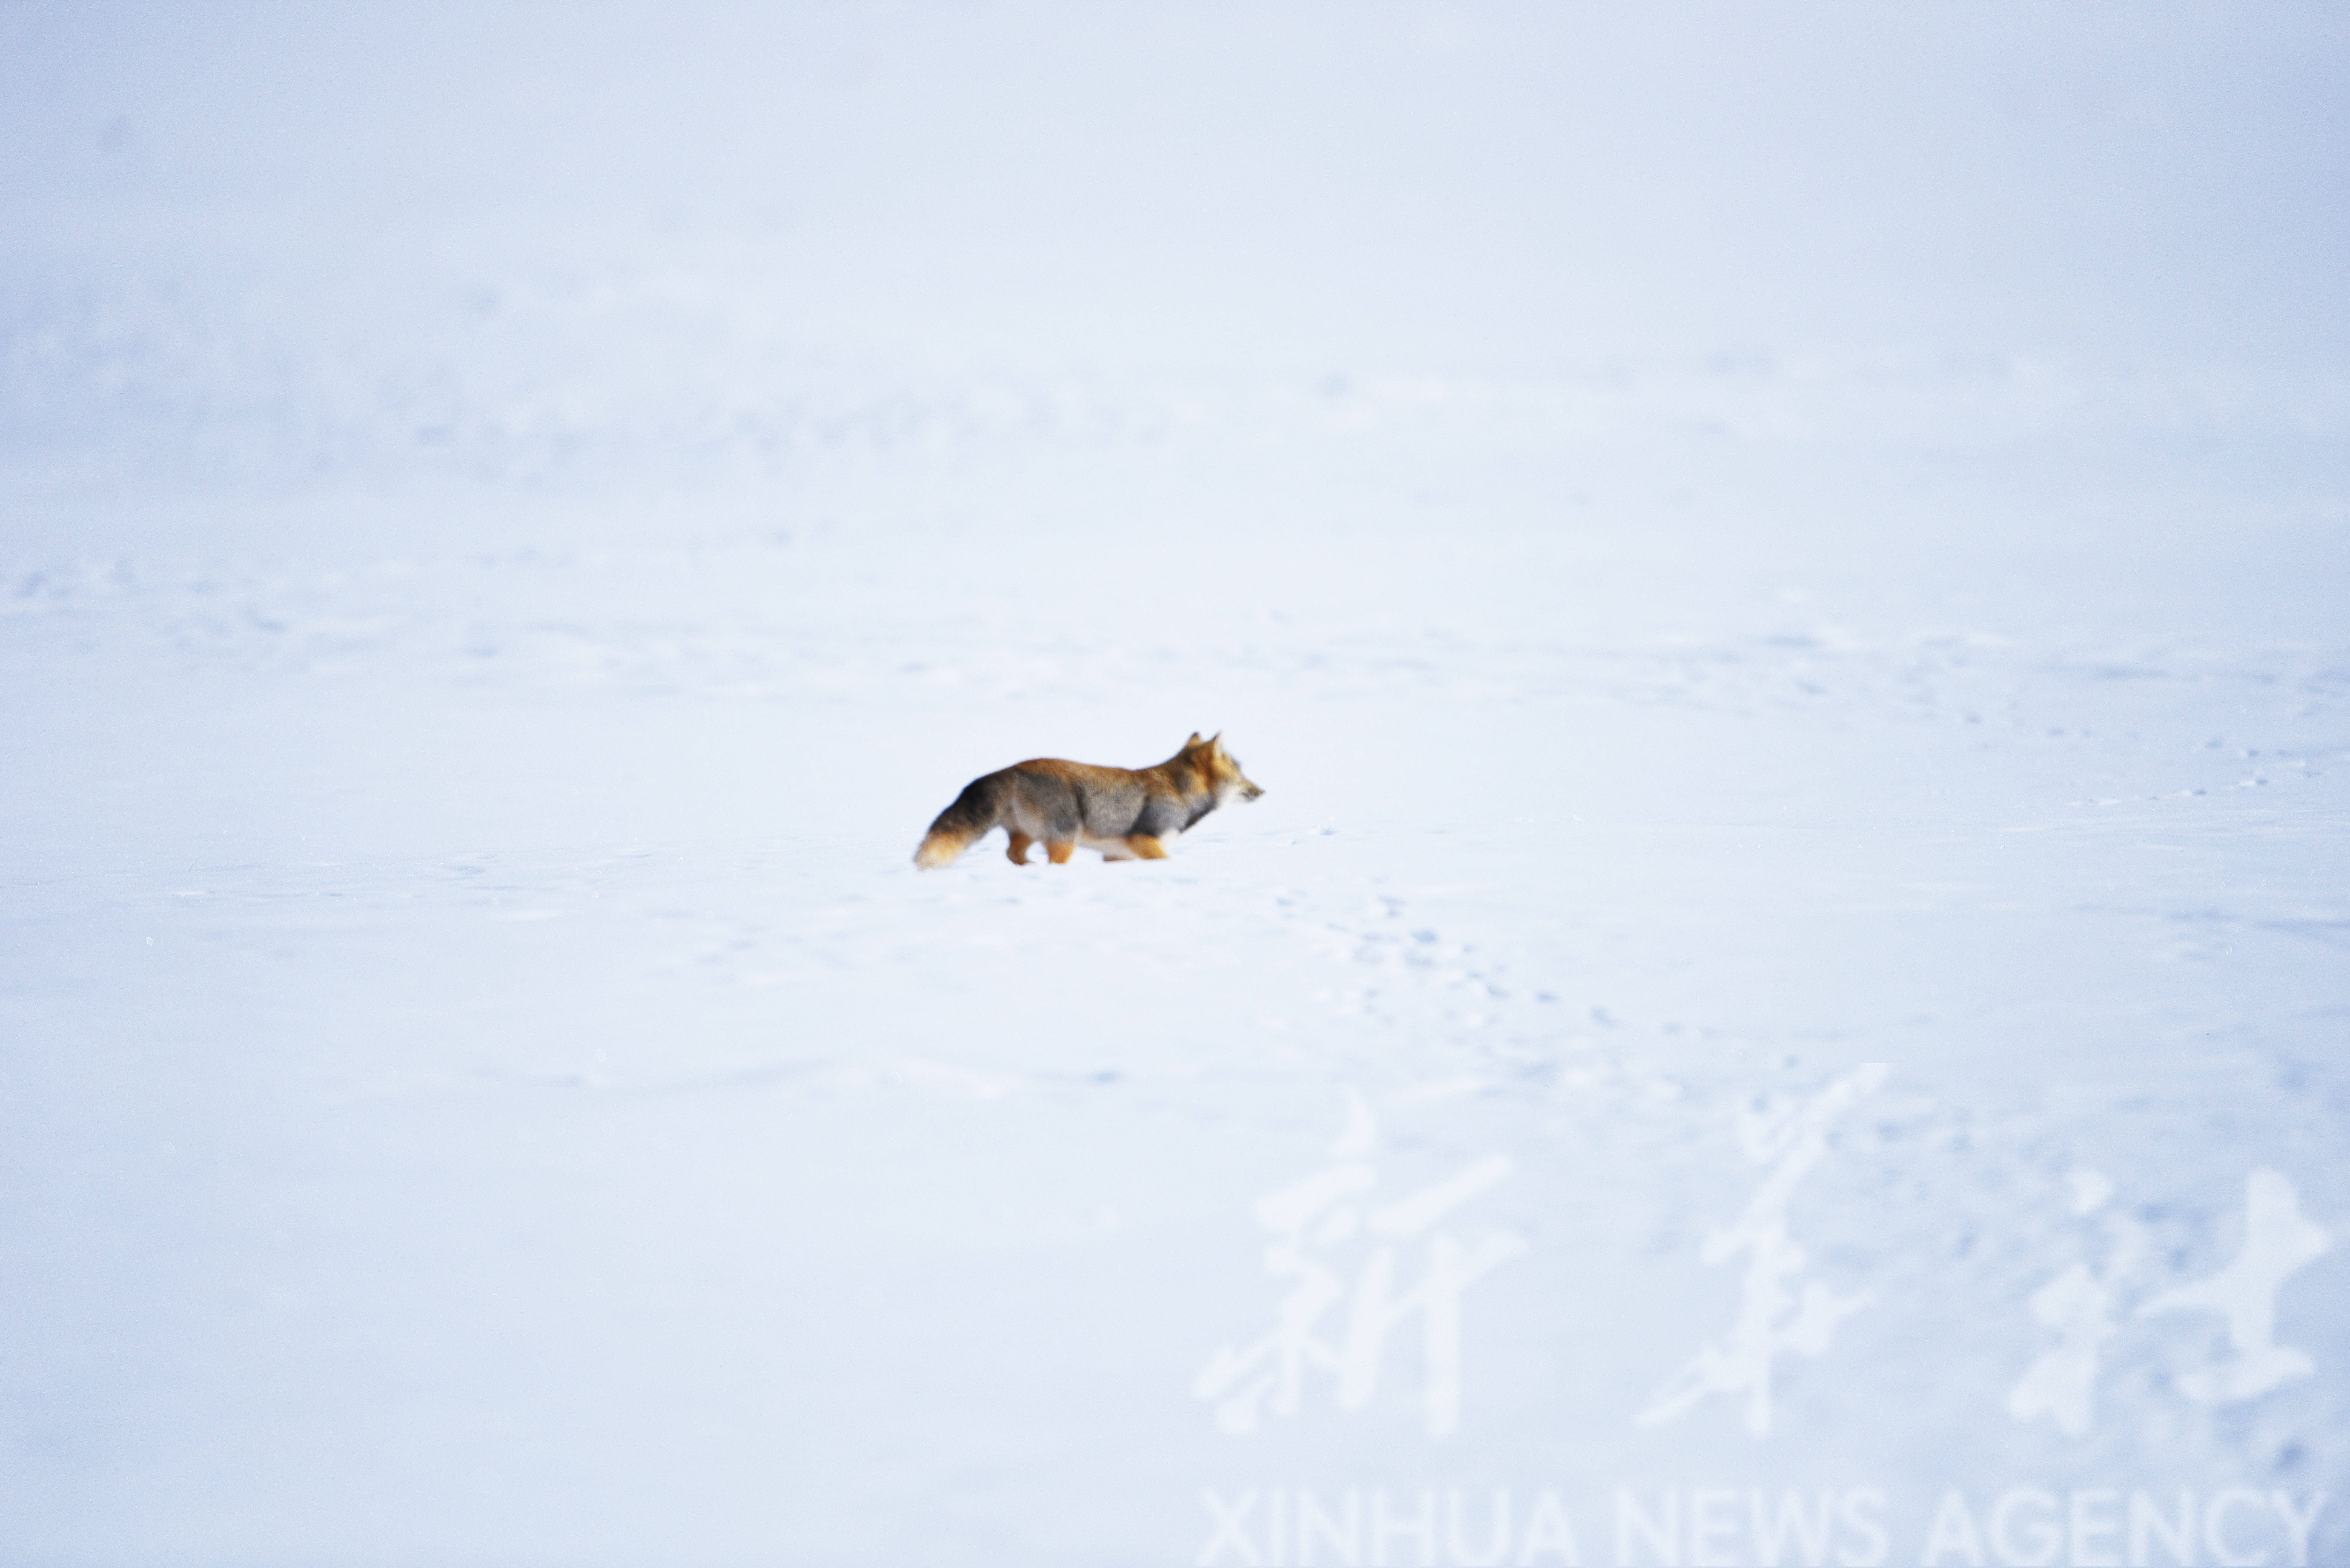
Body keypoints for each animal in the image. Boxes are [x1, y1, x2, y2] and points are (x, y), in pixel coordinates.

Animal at [907, 738, 1269, 870]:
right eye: (1241, 775)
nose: (1263, 791)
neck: (1180, 793)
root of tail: (1011, 769)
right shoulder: (1146, 842)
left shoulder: (1119, 855)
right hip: (1066, 839)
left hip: (1028, 836)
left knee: (1013, 855)